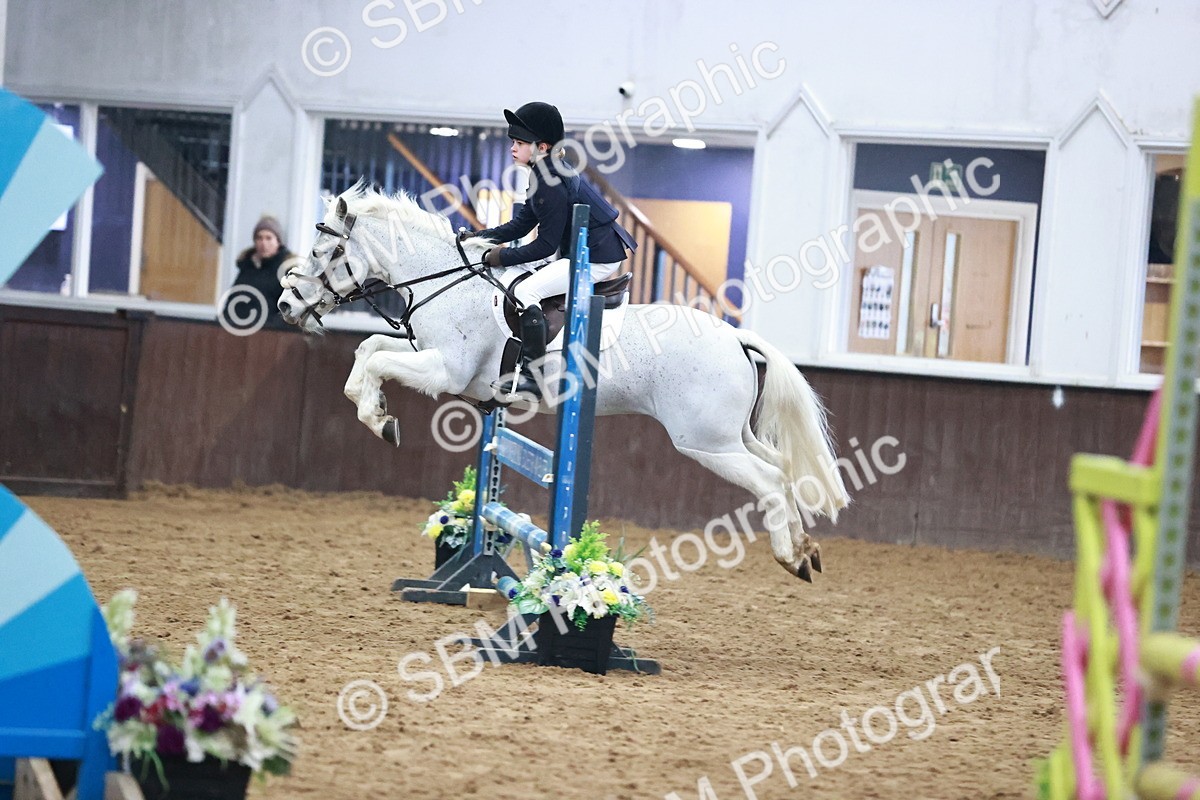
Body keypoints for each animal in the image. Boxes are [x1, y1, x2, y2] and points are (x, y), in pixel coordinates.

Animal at [277, 184, 850, 581]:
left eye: (323, 254)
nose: (285, 305)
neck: (447, 284)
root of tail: (735, 337)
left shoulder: (446, 370)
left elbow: (375, 363)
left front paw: (381, 422)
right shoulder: (431, 359)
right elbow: (368, 351)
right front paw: (376, 412)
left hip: (704, 441)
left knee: (770, 481)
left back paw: (789, 557)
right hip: (733, 435)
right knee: (783, 469)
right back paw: (806, 550)